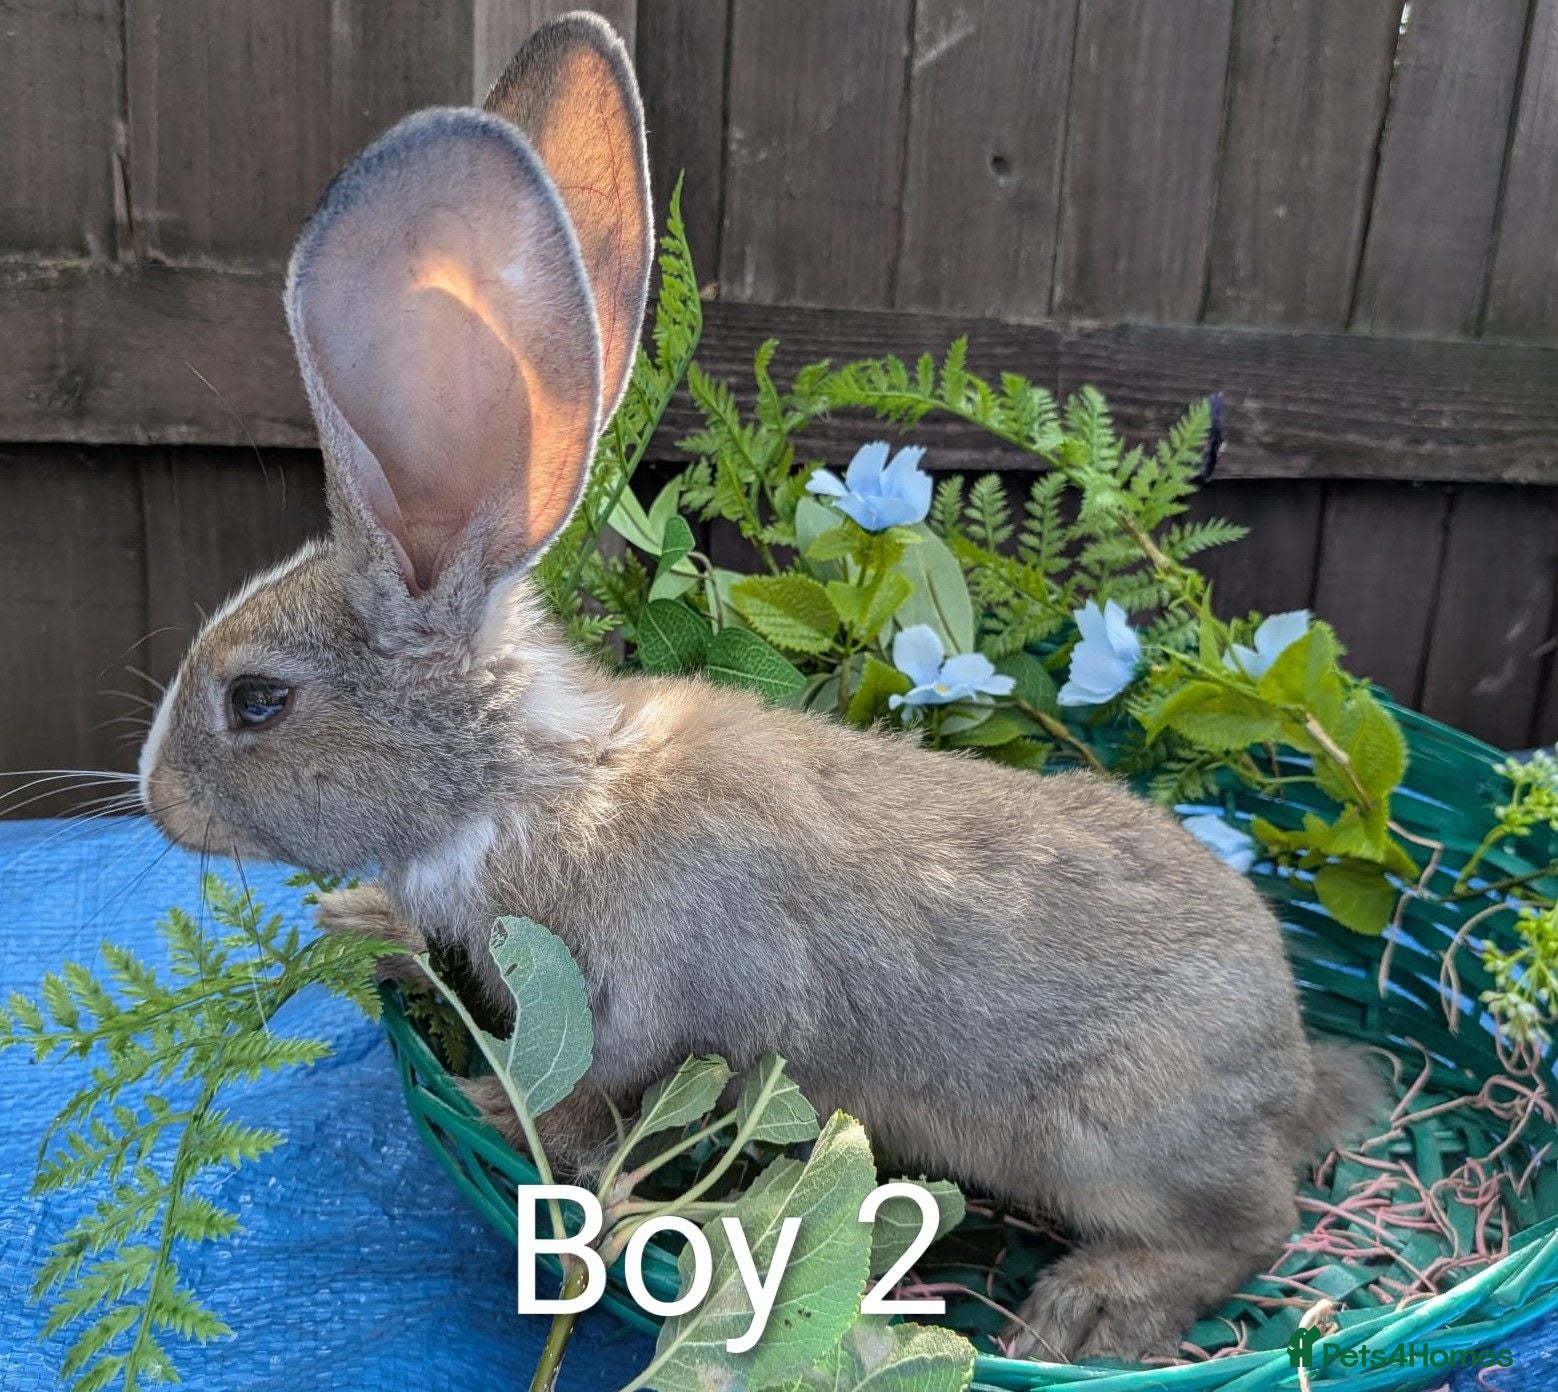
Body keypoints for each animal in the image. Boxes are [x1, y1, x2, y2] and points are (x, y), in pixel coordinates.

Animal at [136, 13, 1382, 1365]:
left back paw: (1091, 1309)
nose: (155, 799)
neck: (534, 784)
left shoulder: (652, 1007)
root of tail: (1290, 1062)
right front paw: (364, 923)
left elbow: (594, 1094)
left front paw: (498, 1110)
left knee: (1246, 1227)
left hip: (1117, 1144)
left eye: (257, 703)